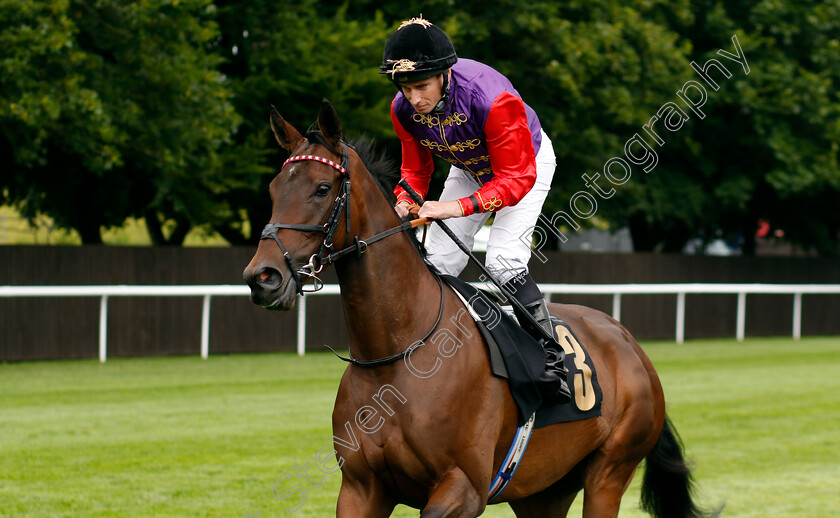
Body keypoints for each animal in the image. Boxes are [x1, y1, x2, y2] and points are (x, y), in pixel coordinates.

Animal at [244, 98, 720, 518]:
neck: (397, 356)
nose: (262, 277)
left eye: (322, 188)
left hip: (610, 470)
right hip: (543, 491)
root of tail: (628, 342)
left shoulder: (464, 488)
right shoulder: (362, 489)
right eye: (273, 189)